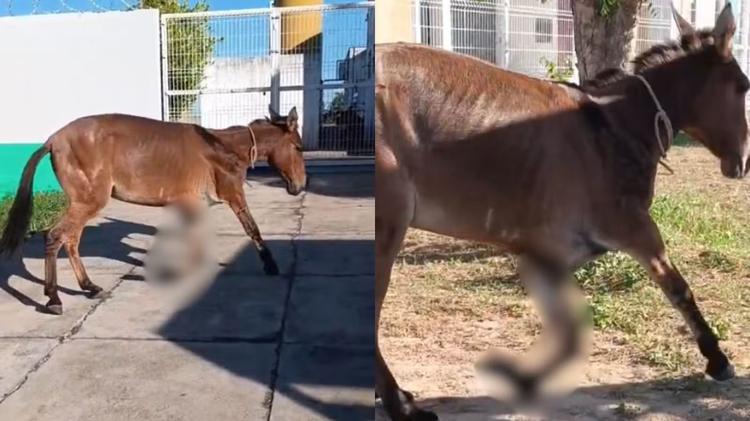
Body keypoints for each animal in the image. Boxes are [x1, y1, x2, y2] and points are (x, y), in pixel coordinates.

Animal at [0, 106, 306, 315]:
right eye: (299, 147)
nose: (299, 186)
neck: (220, 148)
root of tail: (54, 139)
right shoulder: (233, 196)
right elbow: (251, 227)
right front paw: (270, 265)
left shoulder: (192, 204)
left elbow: (195, 240)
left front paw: (185, 271)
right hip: (88, 201)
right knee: (55, 236)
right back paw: (54, 298)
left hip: (83, 203)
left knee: (71, 240)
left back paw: (89, 287)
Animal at [375, 5, 747, 420]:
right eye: (744, 86)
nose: (741, 163)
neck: (611, 127)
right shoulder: (634, 228)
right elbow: (678, 288)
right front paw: (717, 359)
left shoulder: (543, 255)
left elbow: (569, 335)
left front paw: (520, 378)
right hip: (386, 232)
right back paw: (399, 405)